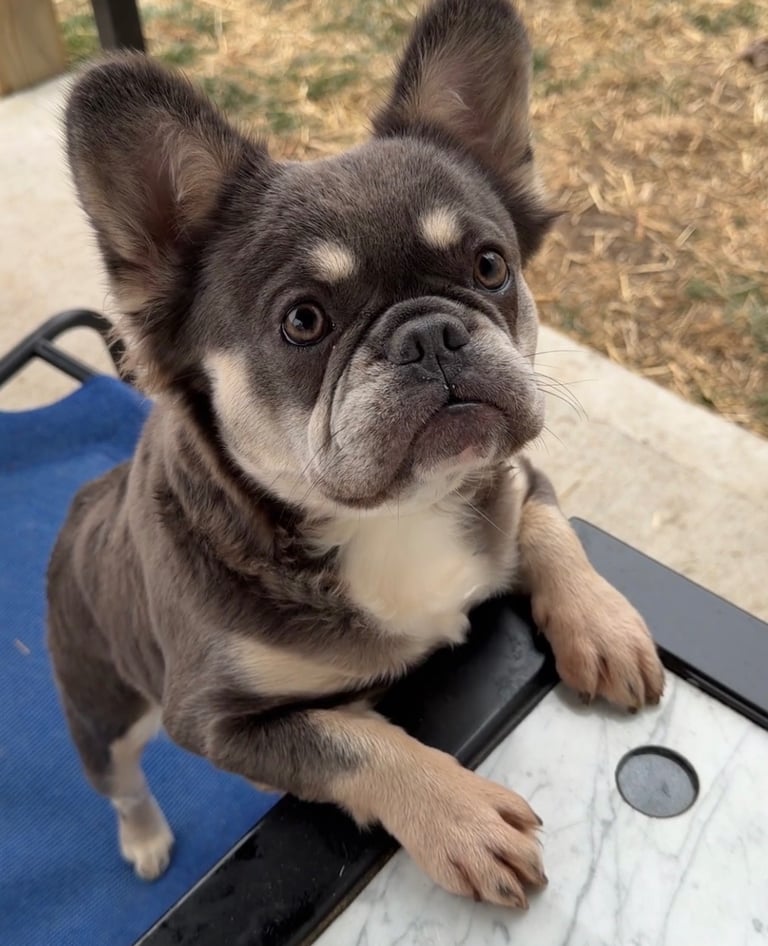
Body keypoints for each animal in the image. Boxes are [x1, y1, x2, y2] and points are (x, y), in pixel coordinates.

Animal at [47, 0, 664, 908]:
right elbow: (349, 741)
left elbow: (551, 528)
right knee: (124, 784)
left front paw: (604, 622)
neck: (392, 516)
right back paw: (147, 838)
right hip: (103, 709)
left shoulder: (517, 475)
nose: (431, 332)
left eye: (491, 265)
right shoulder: (219, 721)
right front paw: (458, 815)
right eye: (303, 321)